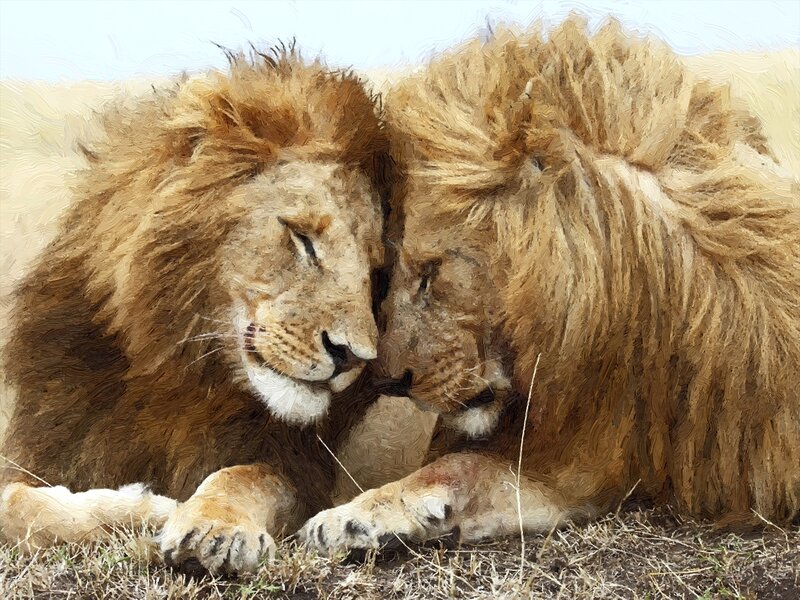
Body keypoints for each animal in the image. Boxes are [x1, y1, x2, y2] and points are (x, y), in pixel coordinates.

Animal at [0, 47, 390, 574]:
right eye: (302, 238)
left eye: (376, 272)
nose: (353, 356)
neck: (174, 373)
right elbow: (16, 505)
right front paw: (139, 510)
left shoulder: (299, 470)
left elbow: (245, 476)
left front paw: (213, 528)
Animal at [299, 17, 800, 553]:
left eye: (430, 271)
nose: (389, 382)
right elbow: (465, 467)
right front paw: (358, 517)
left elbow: (461, 464)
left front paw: (352, 517)